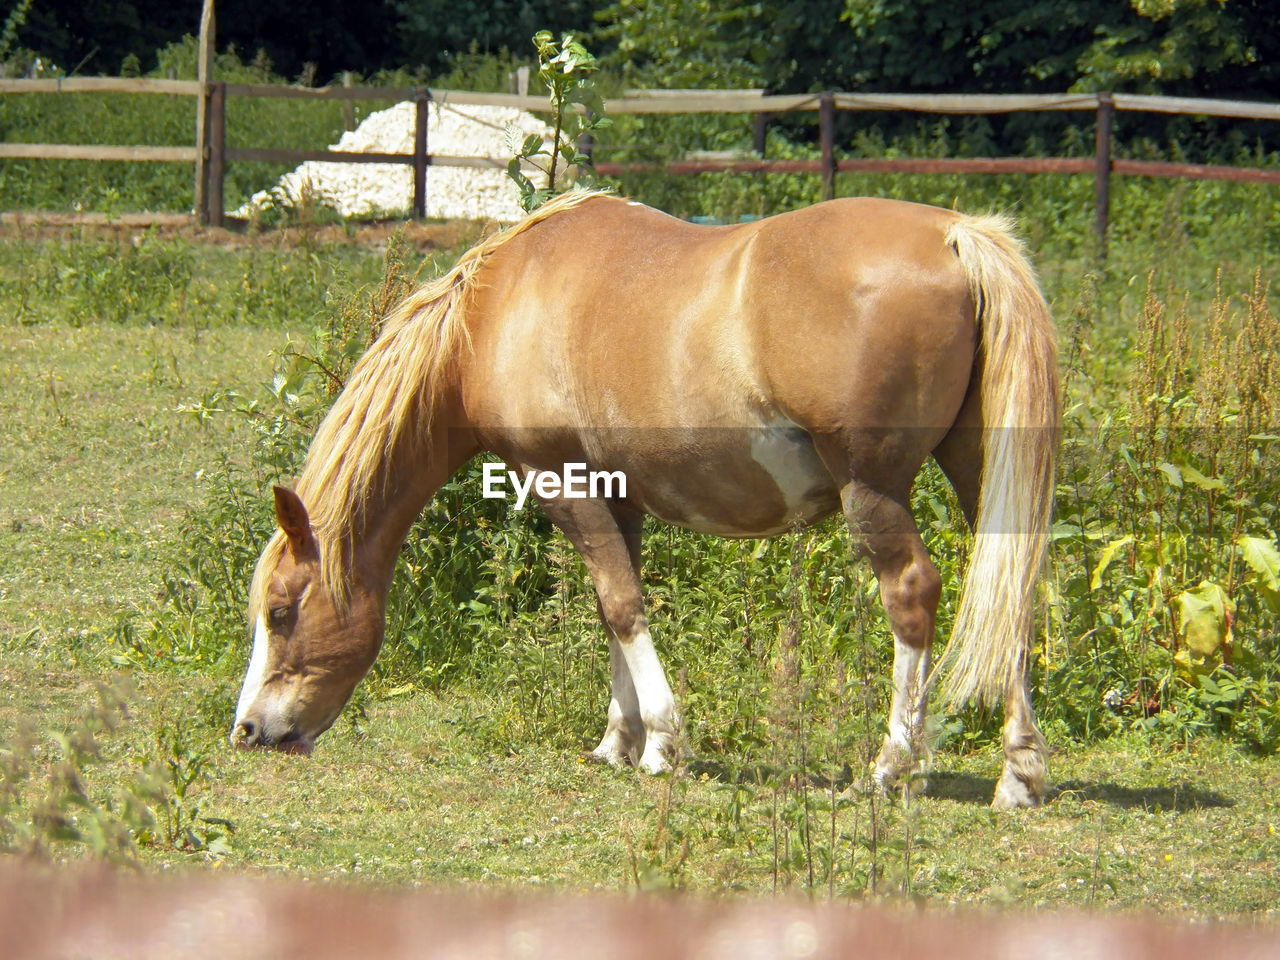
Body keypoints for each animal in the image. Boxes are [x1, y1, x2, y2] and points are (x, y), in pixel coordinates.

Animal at [232, 189, 1059, 814]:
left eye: (281, 610)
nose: (248, 731)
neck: (491, 317)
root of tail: (955, 235)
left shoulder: (559, 482)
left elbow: (625, 608)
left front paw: (662, 742)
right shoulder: (614, 498)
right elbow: (614, 606)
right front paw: (617, 741)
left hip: (873, 490)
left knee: (911, 594)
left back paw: (891, 764)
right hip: (979, 471)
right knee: (1012, 587)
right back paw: (1018, 772)